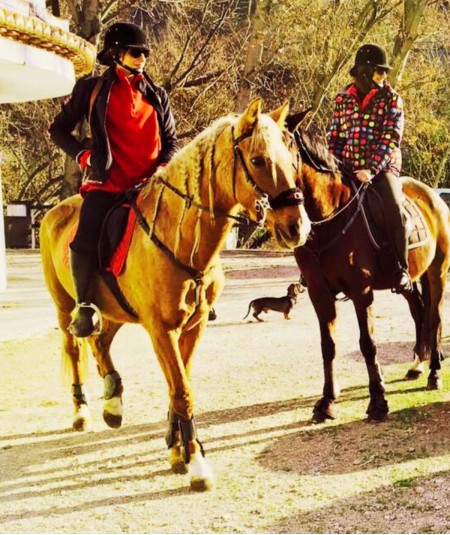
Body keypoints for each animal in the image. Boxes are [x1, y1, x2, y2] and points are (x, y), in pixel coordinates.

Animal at [40, 98, 312, 492]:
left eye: (292, 161)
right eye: (258, 160)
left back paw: (113, 402)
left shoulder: (193, 327)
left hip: (114, 312)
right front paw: (196, 462)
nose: (297, 227)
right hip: (65, 308)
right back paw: (82, 410)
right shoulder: (162, 330)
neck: (183, 238)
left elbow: (177, 388)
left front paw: (176, 450)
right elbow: (182, 392)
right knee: (76, 348)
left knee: (100, 342)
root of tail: (56, 211)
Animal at [286, 112, 450, 422]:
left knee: (433, 317)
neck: (331, 217)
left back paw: (433, 371)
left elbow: (368, 343)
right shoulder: (319, 293)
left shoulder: (361, 291)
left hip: (438, 273)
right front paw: (327, 401)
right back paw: (417, 365)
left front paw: (378, 402)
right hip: (409, 280)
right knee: (419, 313)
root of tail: (434, 198)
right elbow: (328, 345)